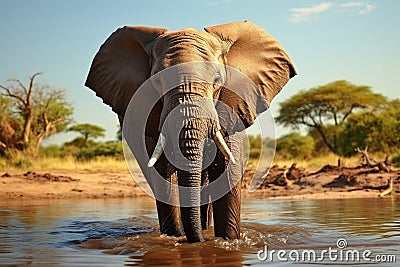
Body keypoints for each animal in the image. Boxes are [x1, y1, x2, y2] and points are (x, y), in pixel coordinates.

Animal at [85, 20, 296, 243]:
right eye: (157, 82)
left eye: (217, 80)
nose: (199, 241)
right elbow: (163, 173)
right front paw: (174, 238)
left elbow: (227, 170)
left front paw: (228, 242)